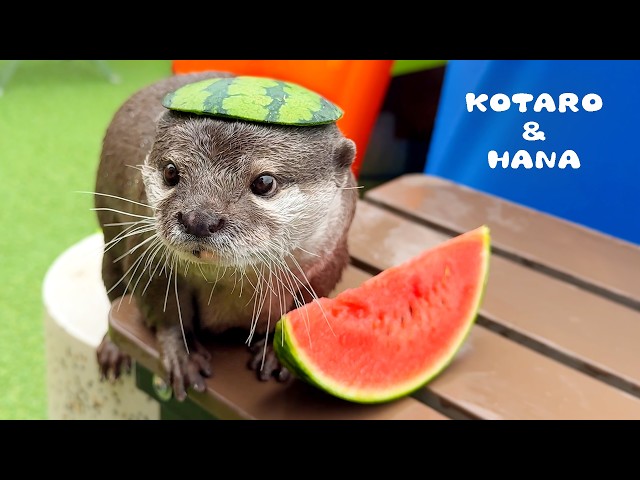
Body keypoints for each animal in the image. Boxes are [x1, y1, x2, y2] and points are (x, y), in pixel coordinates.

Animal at [94, 71, 359, 401]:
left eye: (264, 182)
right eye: (171, 172)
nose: (198, 219)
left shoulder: (328, 261)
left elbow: (302, 307)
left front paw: (275, 351)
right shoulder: (146, 254)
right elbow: (160, 309)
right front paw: (182, 354)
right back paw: (113, 349)